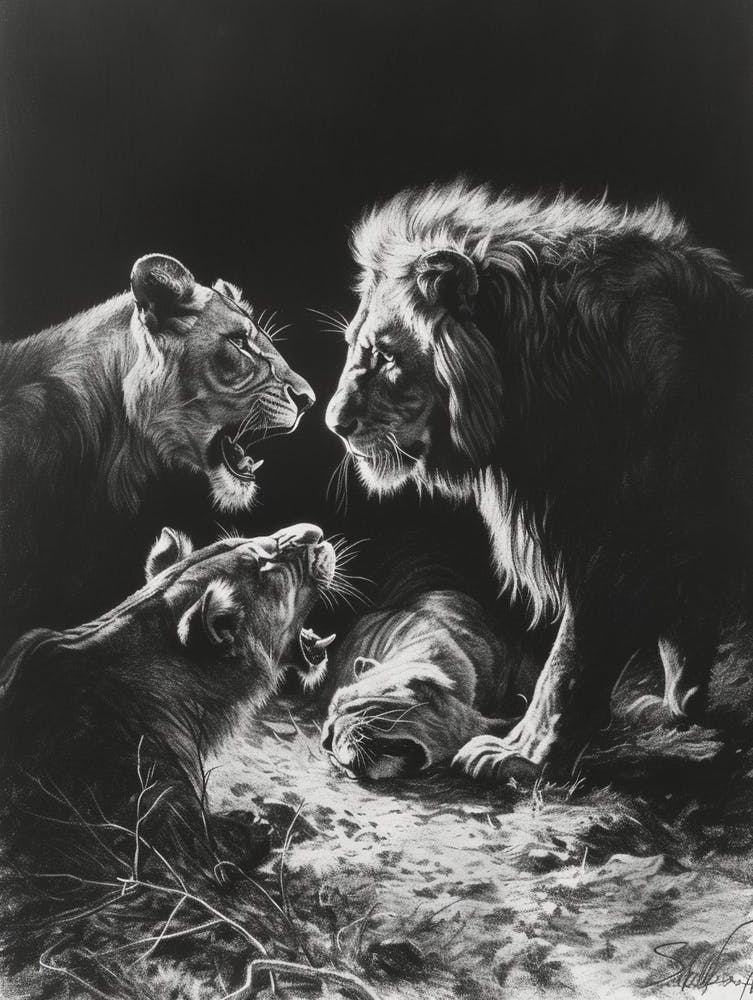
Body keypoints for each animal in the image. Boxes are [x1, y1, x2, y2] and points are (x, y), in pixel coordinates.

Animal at [325, 179, 753, 782]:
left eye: (385, 357)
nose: (333, 423)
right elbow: (682, 632)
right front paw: (681, 704)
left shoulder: (616, 544)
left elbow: (569, 661)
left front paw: (523, 755)